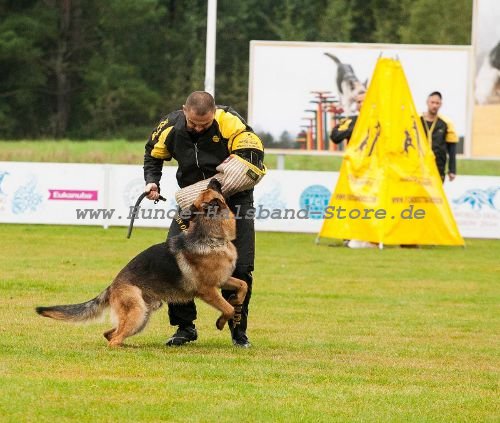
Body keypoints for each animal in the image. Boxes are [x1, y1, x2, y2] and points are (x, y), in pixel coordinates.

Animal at [35, 179, 246, 348]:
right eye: (210, 190)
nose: (214, 179)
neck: (212, 236)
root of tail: (112, 286)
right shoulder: (207, 291)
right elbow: (227, 308)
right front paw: (221, 321)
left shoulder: (223, 279)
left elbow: (242, 285)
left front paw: (237, 301)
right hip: (138, 313)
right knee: (113, 340)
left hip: (143, 314)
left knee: (110, 334)